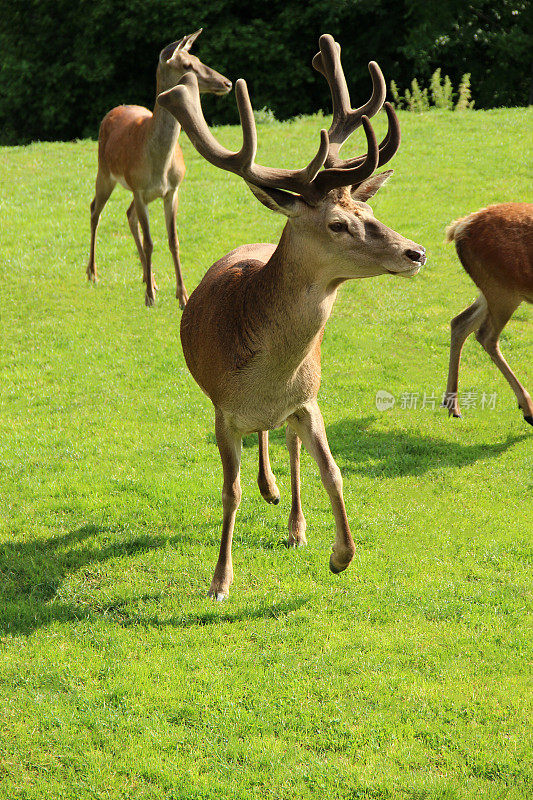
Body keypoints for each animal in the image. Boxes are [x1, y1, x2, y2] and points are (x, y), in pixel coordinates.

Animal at [85, 28, 231, 306]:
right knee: (95, 210)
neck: (159, 165)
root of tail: (114, 110)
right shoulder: (139, 188)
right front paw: (150, 299)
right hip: (104, 172)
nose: (227, 82)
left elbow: (173, 240)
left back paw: (148, 277)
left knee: (128, 214)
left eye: (198, 58)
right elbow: (150, 241)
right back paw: (93, 273)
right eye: (187, 65)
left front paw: (182, 294)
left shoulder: (172, 190)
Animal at [156, 34, 426, 596]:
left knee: (290, 446)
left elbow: (333, 469)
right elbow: (230, 491)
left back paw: (295, 522)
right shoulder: (222, 410)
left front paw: (341, 554)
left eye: (370, 212)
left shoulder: (308, 399)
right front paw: (219, 580)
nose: (416, 252)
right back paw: (269, 488)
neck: (264, 377)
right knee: (263, 446)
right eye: (338, 224)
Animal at [440, 202, 532, 424]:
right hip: (504, 288)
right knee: (486, 336)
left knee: (460, 322)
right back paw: (527, 408)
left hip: (492, 287)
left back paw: (452, 406)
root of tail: (459, 227)